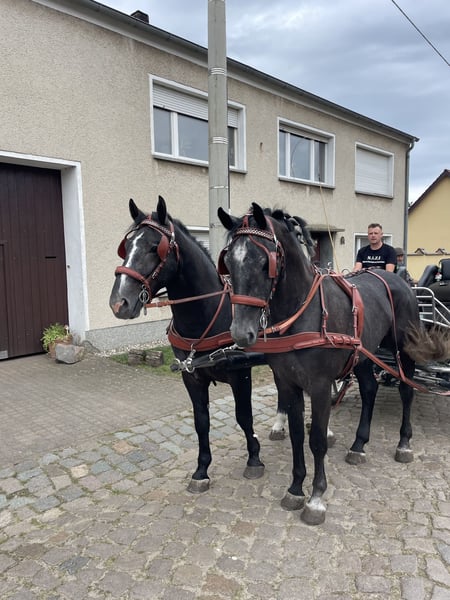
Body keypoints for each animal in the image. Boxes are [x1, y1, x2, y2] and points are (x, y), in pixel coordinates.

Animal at [109, 196, 271, 494]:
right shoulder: (191, 376)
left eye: (155, 247)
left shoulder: (240, 372)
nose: (119, 302)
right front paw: (201, 469)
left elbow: (244, 416)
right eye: (126, 246)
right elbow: (201, 422)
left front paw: (254, 457)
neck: (208, 315)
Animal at [218, 202, 449, 525]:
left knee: (406, 390)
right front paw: (295, 489)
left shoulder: (318, 385)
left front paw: (316, 498)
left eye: (265, 262)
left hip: (403, 349)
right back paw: (359, 445)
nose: (241, 332)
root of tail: (399, 281)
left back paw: (404, 443)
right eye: (228, 262)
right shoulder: (288, 384)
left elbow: (316, 439)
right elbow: (297, 435)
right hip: (364, 355)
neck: (304, 312)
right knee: (369, 390)